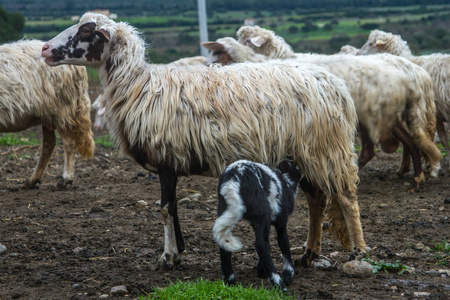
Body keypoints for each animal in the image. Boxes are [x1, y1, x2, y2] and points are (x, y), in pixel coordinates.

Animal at [0, 38, 94, 189]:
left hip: (61, 109)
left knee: (69, 143)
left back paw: (66, 179)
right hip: (47, 114)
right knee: (49, 144)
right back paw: (33, 180)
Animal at [40, 12, 368, 270]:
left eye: (86, 30)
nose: (44, 49)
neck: (137, 86)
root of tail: (335, 84)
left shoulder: (165, 161)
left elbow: (165, 209)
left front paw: (167, 258)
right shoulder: (170, 163)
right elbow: (172, 208)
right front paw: (176, 253)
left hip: (327, 148)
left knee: (346, 198)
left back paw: (359, 252)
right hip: (305, 152)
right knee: (318, 200)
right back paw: (310, 254)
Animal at [215, 159, 302, 288]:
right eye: (296, 167)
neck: (286, 182)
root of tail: (233, 179)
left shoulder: (256, 223)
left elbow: (268, 242)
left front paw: (261, 271)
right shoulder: (281, 221)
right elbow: (284, 244)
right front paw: (288, 274)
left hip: (224, 210)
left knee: (225, 244)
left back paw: (230, 281)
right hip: (263, 212)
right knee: (260, 244)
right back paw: (279, 283)